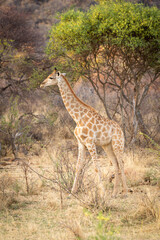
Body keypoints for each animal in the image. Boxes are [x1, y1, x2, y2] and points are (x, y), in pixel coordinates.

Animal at [40, 68, 128, 197]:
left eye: (51, 77)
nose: (41, 84)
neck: (77, 117)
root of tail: (121, 130)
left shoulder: (90, 142)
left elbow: (96, 167)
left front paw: (102, 193)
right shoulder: (81, 143)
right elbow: (78, 167)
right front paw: (72, 193)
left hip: (118, 144)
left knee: (121, 163)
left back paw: (126, 191)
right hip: (107, 146)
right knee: (116, 164)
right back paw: (114, 193)